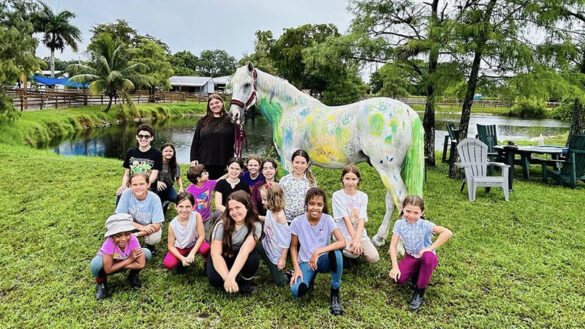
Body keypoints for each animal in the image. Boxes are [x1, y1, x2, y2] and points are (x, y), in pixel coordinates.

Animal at [226, 62, 422, 245]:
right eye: (232, 84)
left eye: (246, 84)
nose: (233, 115)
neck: (288, 110)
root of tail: (407, 110)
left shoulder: (290, 163)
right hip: (392, 170)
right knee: (391, 202)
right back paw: (380, 238)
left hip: (387, 169)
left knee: (400, 200)